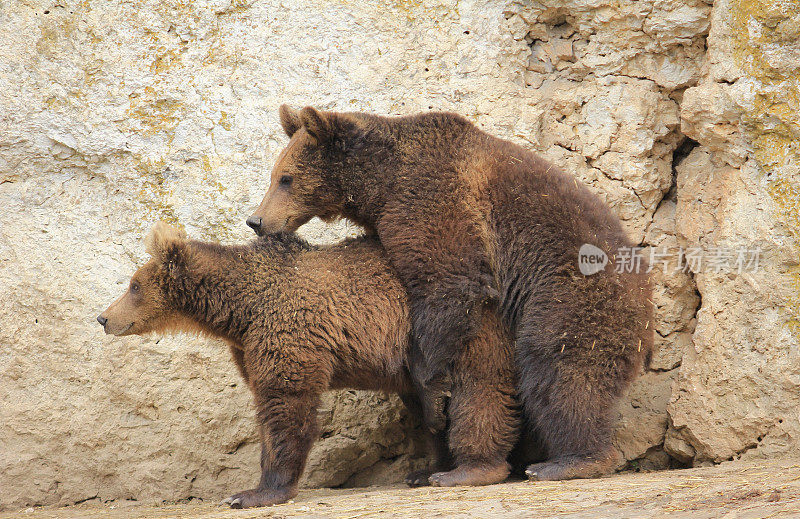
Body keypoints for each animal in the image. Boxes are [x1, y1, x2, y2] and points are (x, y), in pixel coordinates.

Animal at [97, 222, 520, 508]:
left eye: (134, 285)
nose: (103, 318)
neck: (240, 310)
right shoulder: (249, 345)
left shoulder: (289, 334)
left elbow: (285, 406)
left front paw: (256, 492)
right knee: (429, 405)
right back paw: (427, 469)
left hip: (463, 325)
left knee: (479, 388)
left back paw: (470, 469)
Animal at [250, 104, 656, 484]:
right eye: (274, 175)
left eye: (286, 178)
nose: (256, 220)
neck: (379, 184)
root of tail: (648, 297)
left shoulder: (430, 200)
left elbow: (448, 285)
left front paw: (432, 395)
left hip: (573, 293)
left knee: (559, 365)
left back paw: (568, 460)